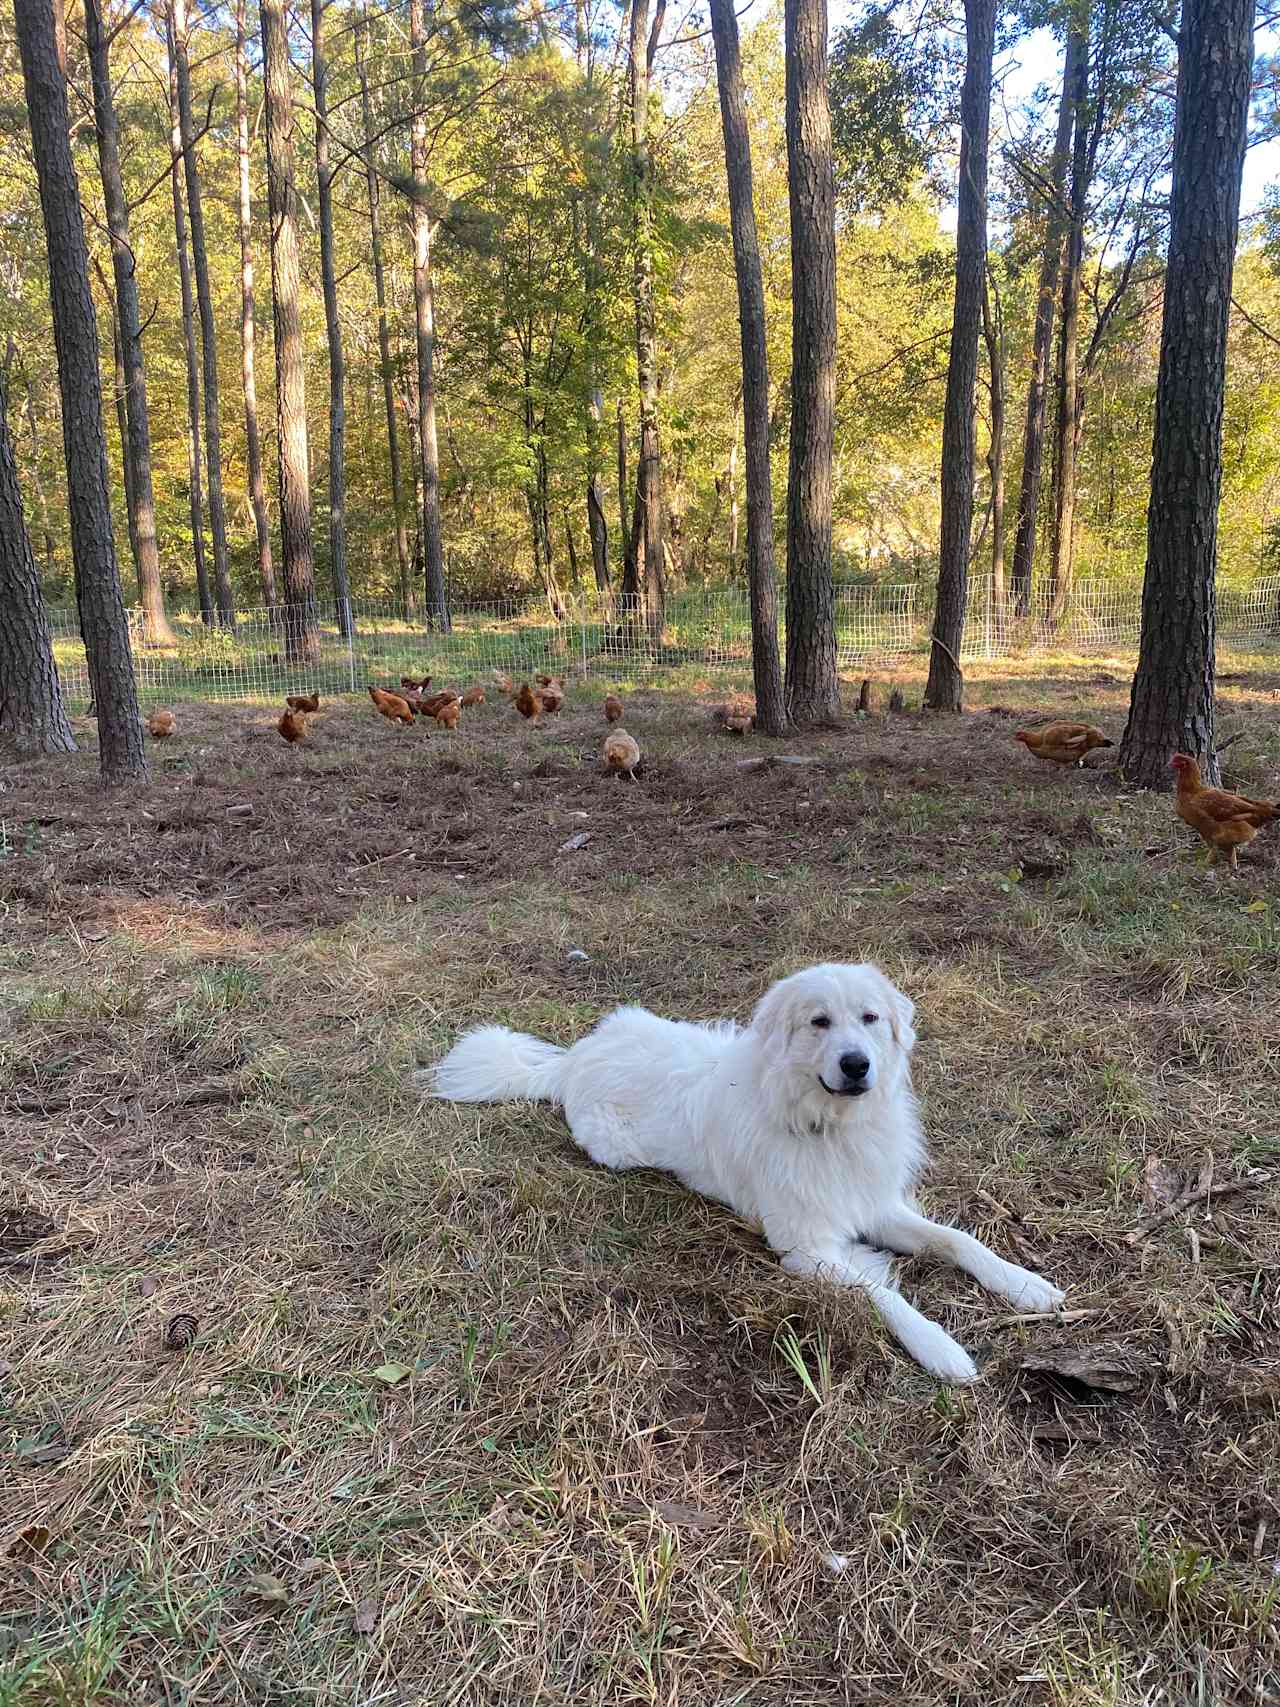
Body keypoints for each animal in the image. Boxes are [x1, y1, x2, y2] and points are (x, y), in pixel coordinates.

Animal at [428, 969, 1064, 1379]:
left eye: (870, 1018)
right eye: (819, 1021)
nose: (857, 1064)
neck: (825, 1124)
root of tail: (573, 1059)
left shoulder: (875, 1203)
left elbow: (959, 1241)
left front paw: (1023, 1284)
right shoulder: (805, 1247)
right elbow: (882, 1295)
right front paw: (940, 1348)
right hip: (616, 1146)